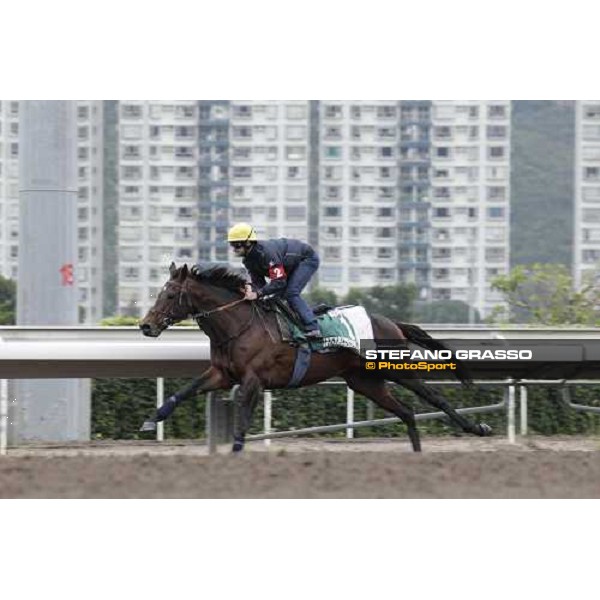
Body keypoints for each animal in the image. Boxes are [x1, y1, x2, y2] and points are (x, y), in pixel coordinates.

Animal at [139, 262, 492, 450]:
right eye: (158, 293)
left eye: (170, 294)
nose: (146, 325)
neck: (239, 324)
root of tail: (392, 322)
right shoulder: (222, 375)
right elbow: (184, 391)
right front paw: (151, 419)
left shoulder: (253, 381)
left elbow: (241, 422)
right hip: (365, 381)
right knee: (406, 412)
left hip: (397, 367)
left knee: (434, 398)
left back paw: (477, 428)